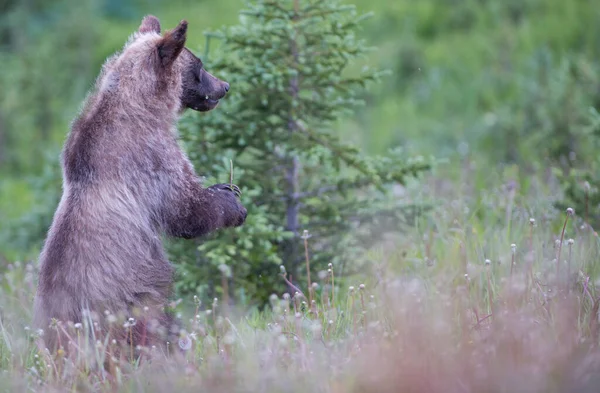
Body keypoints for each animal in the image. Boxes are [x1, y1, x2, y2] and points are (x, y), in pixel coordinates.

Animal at [29, 16, 246, 356]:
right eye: (199, 65)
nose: (224, 86)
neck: (142, 106)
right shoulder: (150, 155)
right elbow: (184, 207)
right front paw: (231, 202)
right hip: (134, 301)